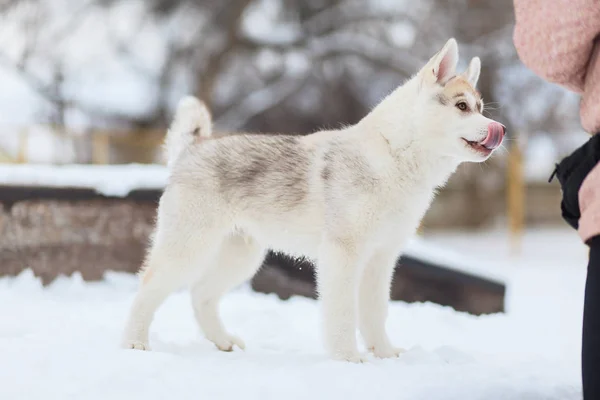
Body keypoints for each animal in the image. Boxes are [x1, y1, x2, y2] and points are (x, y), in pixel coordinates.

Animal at [123, 38, 506, 362]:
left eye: (480, 108)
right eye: (462, 106)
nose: (499, 130)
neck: (394, 157)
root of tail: (192, 149)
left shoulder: (381, 259)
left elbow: (374, 312)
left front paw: (384, 354)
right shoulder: (343, 255)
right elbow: (343, 312)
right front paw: (348, 359)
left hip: (241, 256)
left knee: (201, 294)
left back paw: (223, 342)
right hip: (188, 249)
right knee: (147, 287)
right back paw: (134, 342)